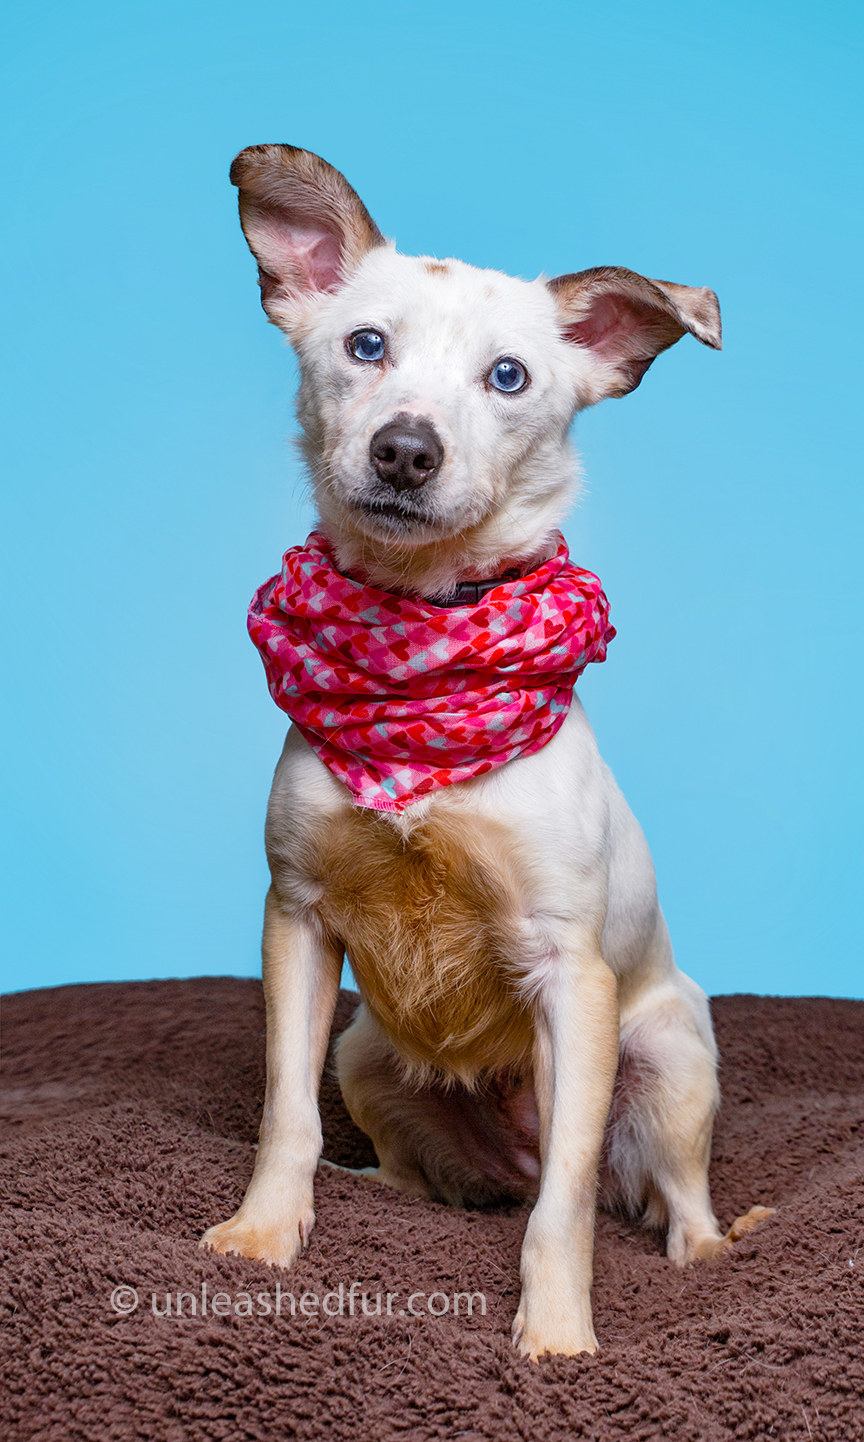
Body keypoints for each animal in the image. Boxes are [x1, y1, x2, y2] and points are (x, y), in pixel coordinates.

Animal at [200, 146, 773, 1361]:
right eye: (366, 346)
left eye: (508, 378)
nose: (405, 449)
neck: (427, 641)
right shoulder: (298, 921)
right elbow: (282, 1115)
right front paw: (266, 1233)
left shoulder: (574, 978)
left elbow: (564, 1209)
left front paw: (555, 1330)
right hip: (365, 1052)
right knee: (430, 1176)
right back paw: (382, 1188)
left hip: (673, 1057)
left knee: (645, 1192)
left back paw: (705, 1247)